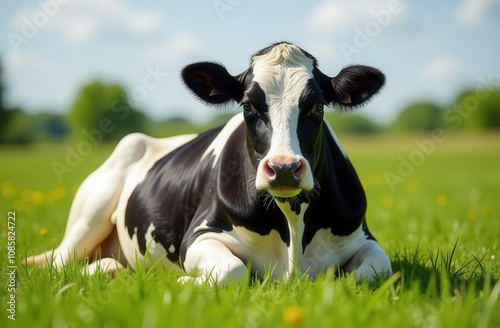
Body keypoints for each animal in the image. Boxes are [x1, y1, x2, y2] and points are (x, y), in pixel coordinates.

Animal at [27, 41, 392, 284]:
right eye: (247, 105)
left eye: (317, 106)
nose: (284, 168)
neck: (292, 224)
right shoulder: (199, 235)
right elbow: (234, 270)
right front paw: (182, 282)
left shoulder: (363, 239)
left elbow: (371, 272)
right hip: (89, 215)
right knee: (61, 262)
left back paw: (109, 268)